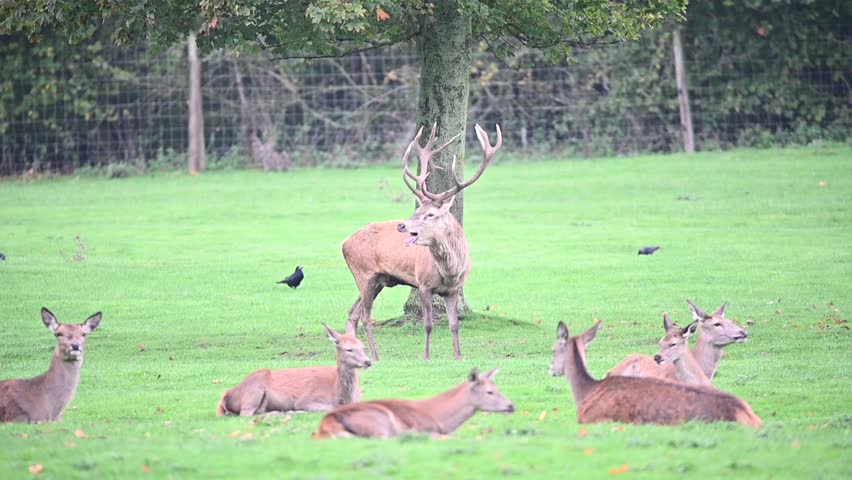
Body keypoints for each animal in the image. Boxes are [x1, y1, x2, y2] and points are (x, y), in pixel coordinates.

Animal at [216, 323, 372, 416]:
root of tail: (226, 396)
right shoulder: (306, 399)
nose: (368, 361)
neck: (342, 396)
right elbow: (331, 408)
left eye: (363, 347)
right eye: (348, 349)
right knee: (246, 413)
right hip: (254, 388)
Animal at [314, 367, 514, 438]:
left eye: (497, 387)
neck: (439, 419)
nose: (511, 405)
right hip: (378, 422)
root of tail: (325, 425)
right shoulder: (424, 430)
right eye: (490, 392)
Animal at [342, 123, 502, 361]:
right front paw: (426, 356)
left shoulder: (454, 289)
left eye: (430, 214)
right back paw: (375, 356)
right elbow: (428, 324)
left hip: (379, 279)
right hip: (364, 273)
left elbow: (454, 324)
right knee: (364, 315)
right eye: (416, 210)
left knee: (353, 312)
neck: (449, 270)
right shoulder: (424, 285)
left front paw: (458, 356)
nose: (401, 225)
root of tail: (343, 244)